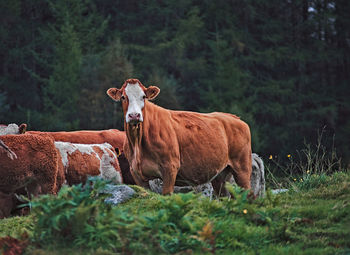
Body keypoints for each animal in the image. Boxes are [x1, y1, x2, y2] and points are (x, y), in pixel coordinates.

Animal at [106, 77, 252, 195]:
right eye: (123, 97)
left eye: (144, 97)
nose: (134, 115)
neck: (138, 142)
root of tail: (235, 118)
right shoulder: (137, 173)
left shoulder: (170, 167)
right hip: (220, 175)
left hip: (242, 169)